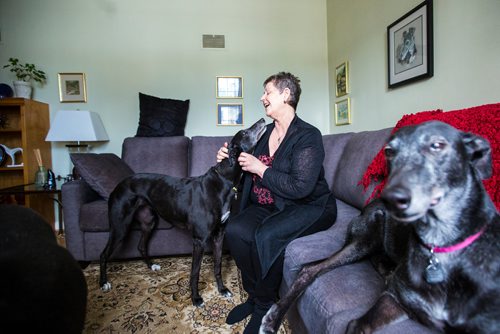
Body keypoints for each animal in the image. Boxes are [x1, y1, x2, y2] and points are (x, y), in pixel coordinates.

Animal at [99, 118, 268, 306]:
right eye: (244, 132)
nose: (262, 120)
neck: (224, 180)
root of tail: (118, 185)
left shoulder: (219, 235)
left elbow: (217, 265)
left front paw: (222, 290)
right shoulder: (199, 240)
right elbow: (195, 272)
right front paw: (196, 298)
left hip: (148, 221)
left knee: (141, 246)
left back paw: (152, 266)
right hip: (120, 226)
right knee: (103, 254)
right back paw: (104, 283)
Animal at [262, 120, 500, 334]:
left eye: (437, 146)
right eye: (389, 152)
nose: (392, 196)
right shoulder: (393, 298)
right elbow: (358, 325)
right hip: (367, 237)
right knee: (311, 269)